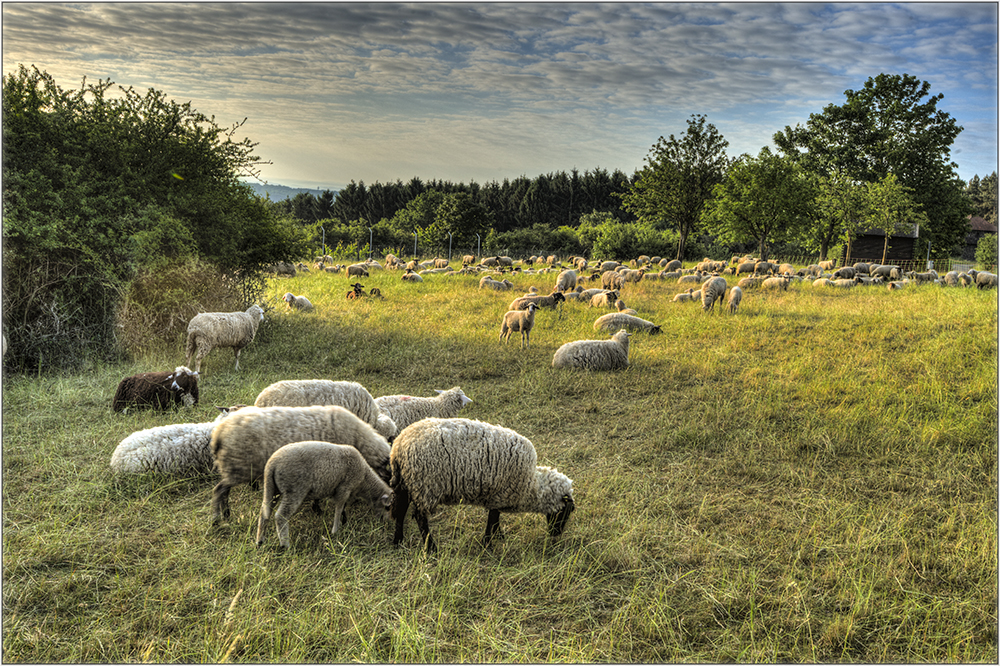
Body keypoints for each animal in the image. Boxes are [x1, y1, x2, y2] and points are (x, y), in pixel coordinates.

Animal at [209, 404, 392, 524]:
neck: (358, 438)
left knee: (224, 490)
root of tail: (219, 432)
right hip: (240, 466)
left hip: (236, 467)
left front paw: (316, 508)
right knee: (219, 489)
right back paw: (217, 518)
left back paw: (226, 514)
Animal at [254, 444, 394, 548]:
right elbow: (339, 508)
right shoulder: (344, 488)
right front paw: (335, 530)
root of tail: (272, 464)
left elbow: (344, 508)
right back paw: (285, 545)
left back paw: (260, 541)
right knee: (280, 516)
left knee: (264, 512)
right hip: (294, 490)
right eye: (387, 507)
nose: (386, 523)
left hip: (272, 488)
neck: (364, 479)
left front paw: (344, 521)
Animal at [388, 416, 576, 548]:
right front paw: (488, 543)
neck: (532, 485)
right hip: (425, 485)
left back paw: (398, 541)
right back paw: (431, 548)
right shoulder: (499, 494)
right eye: (566, 511)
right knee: (420, 518)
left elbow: (495, 517)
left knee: (401, 511)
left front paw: (498, 535)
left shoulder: (498, 495)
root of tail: (399, 446)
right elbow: (492, 518)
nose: (555, 534)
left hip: (406, 483)